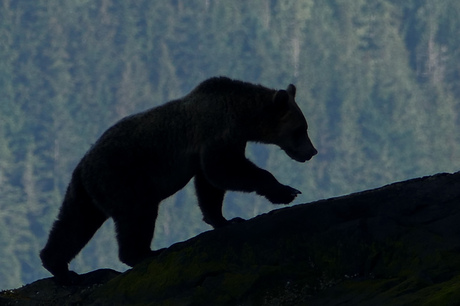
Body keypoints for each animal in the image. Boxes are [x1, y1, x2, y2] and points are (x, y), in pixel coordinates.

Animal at [39, 77, 316, 284]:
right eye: (300, 129)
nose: (312, 152)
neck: (242, 114)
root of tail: (84, 166)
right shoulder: (217, 132)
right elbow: (223, 170)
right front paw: (286, 191)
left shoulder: (218, 141)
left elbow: (209, 185)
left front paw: (225, 219)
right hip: (124, 177)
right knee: (137, 215)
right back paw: (143, 253)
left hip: (83, 192)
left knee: (73, 224)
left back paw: (60, 267)